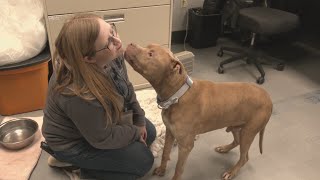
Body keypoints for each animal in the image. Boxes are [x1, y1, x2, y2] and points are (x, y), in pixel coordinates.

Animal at [124, 43, 272, 180]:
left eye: (151, 54)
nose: (130, 44)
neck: (177, 95)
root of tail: (268, 98)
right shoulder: (170, 132)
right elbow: (165, 153)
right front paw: (161, 169)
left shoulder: (186, 146)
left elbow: (179, 168)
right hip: (236, 126)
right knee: (237, 142)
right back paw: (224, 148)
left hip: (248, 132)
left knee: (244, 157)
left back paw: (231, 172)